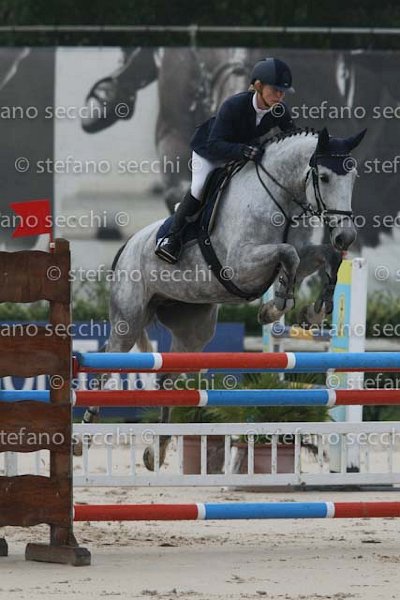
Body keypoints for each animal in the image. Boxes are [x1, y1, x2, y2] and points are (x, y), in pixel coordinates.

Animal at [81, 126, 366, 468]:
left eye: (354, 176)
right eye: (323, 177)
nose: (346, 237)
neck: (279, 199)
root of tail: (128, 245)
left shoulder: (303, 255)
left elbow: (321, 257)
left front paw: (315, 311)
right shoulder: (240, 266)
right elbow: (289, 254)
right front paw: (273, 308)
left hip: (193, 331)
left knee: (167, 378)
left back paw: (157, 449)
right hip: (129, 320)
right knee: (105, 365)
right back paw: (84, 433)